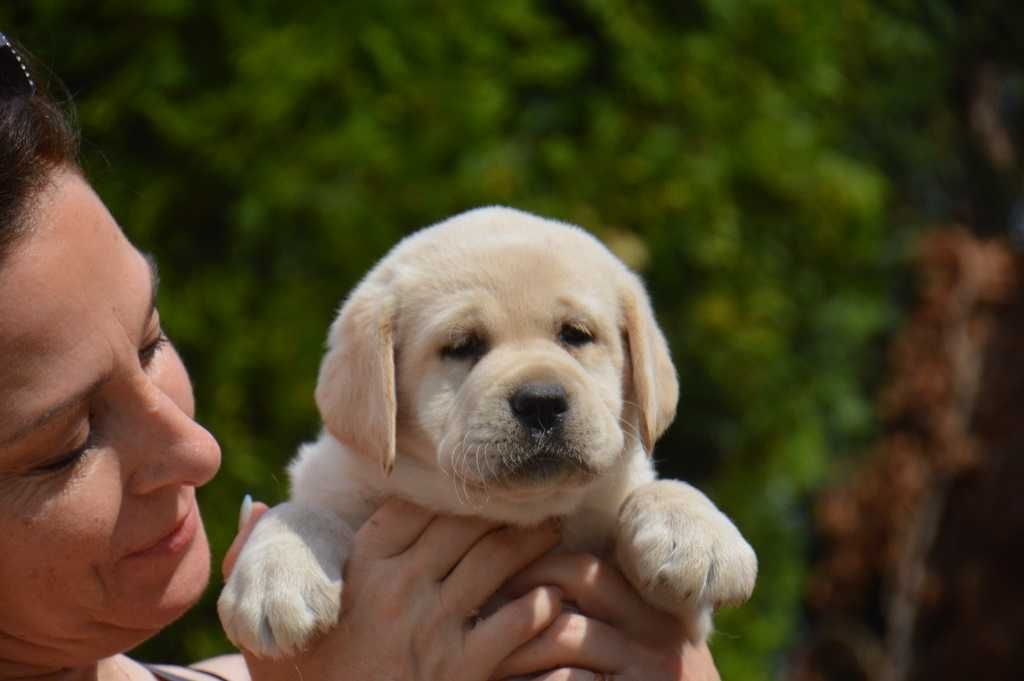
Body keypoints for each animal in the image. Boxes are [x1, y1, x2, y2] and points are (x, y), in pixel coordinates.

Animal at [218, 204, 761, 655]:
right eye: (462, 346)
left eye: (576, 335)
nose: (541, 402)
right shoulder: (338, 484)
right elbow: (299, 511)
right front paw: (276, 576)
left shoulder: (680, 620)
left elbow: (654, 489)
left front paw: (695, 536)